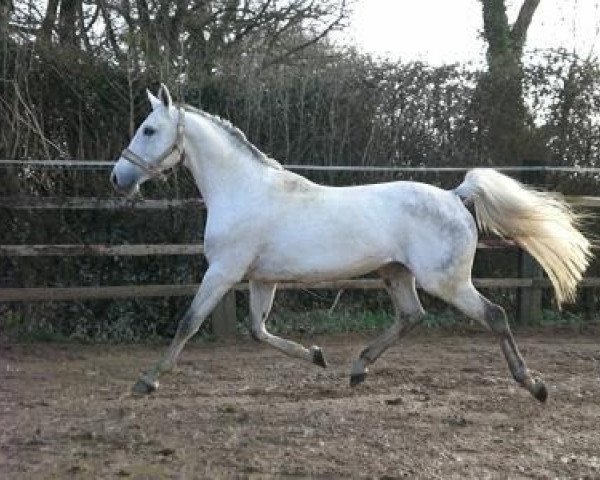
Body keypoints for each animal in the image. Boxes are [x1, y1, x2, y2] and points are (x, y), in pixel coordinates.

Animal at [111, 85, 592, 402]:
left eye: (149, 130)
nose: (118, 177)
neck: (244, 190)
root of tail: (456, 196)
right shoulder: (261, 279)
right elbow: (258, 330)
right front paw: (318, 356)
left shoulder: (223, 272)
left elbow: (188, 323)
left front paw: (146, 380)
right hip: (396, 273)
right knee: (412, 315)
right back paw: (358, 369)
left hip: (446, 281)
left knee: (493, 316)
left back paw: (534, 385)